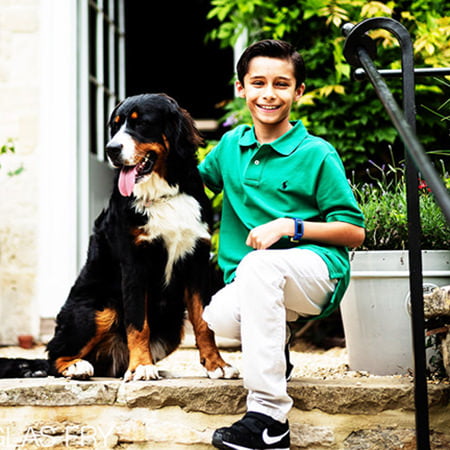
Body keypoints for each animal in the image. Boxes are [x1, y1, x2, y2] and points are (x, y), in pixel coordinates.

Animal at [0, 94, 237, 380]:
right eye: (114, 126)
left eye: (141, 123)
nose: (111, 149)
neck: (162, 194)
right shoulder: (134, 262)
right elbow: (137, 322)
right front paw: (142, 367)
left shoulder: (197, 260)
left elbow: (203, 322)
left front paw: (217, 364)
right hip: (99, 308)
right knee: (54, 356)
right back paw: (78, 366)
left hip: (171, 326)